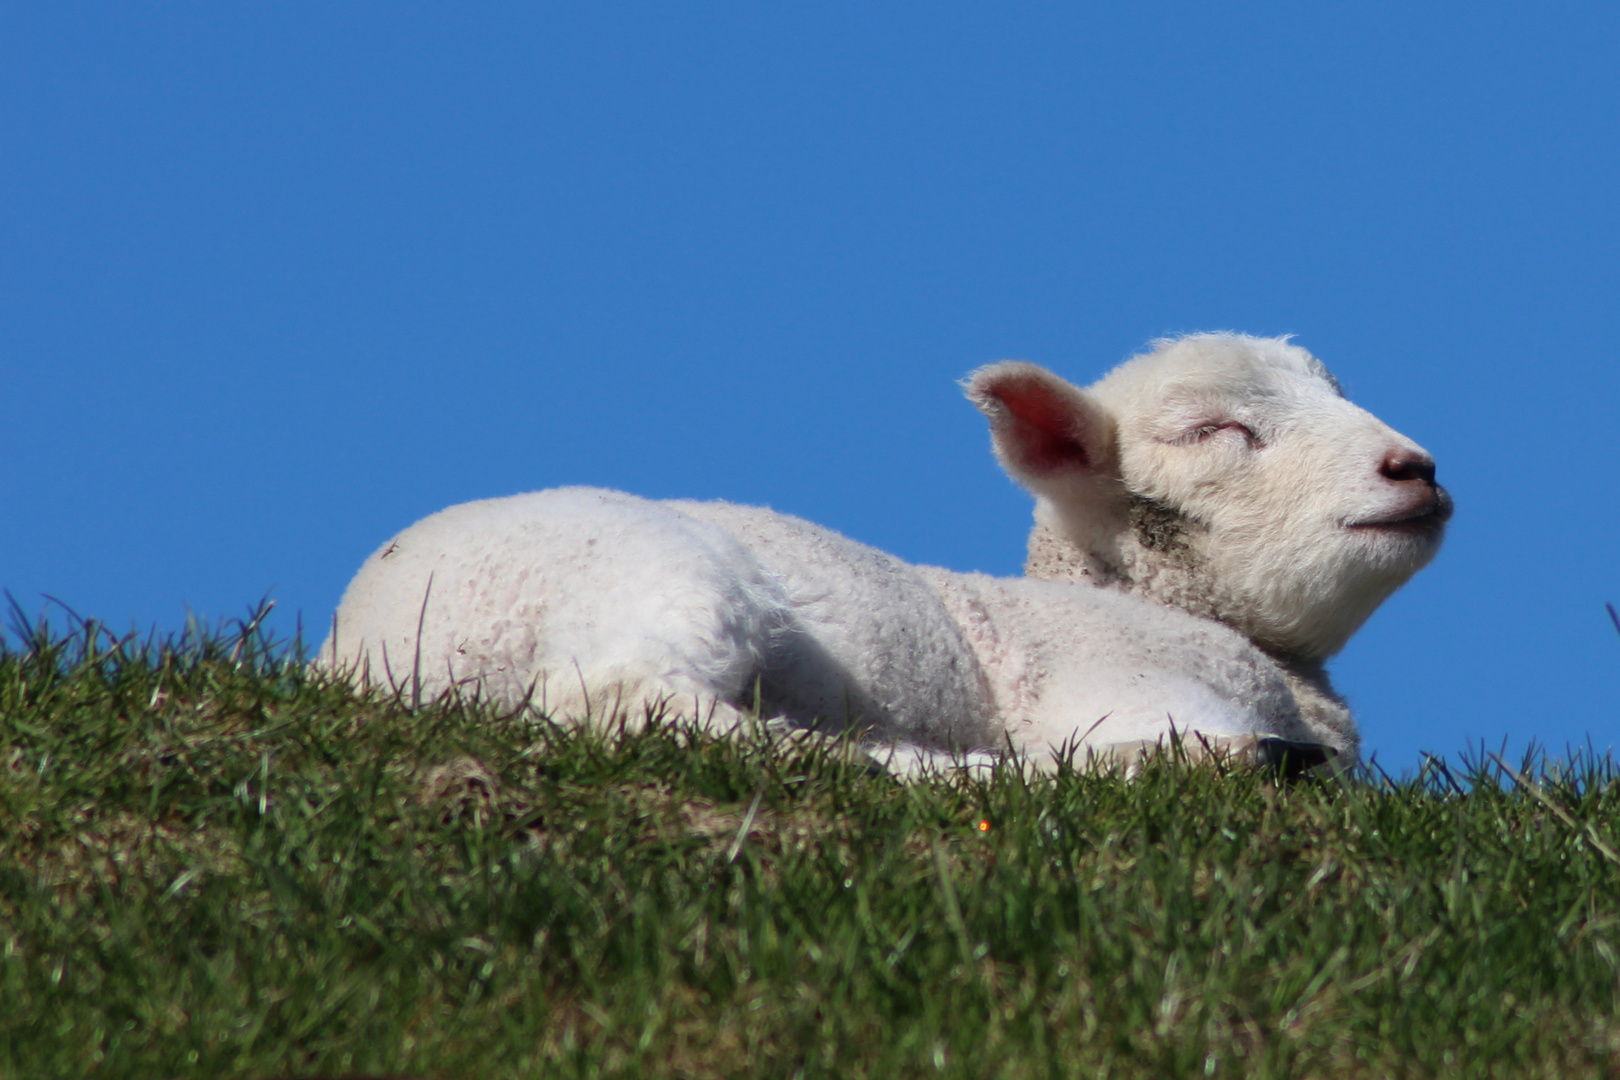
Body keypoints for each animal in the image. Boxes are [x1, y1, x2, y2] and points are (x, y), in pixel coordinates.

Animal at [315, 333, 1445, 773]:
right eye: (1216, 430)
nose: (1416, 468)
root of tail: (362, 651)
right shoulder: (1118, 680)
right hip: (656, 573)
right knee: (637, 702)